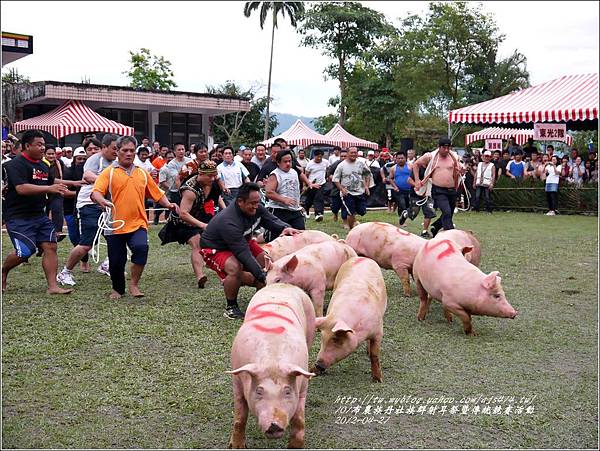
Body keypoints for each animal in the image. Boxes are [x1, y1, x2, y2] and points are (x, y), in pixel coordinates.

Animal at [226, 284, 318, 450]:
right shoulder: (237, 380)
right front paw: (237, 447)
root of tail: (284, 285)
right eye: (259, 391)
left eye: (287, 391)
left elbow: (299, 419)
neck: (272, 361)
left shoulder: (303, 385)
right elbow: (240, 417)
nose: (274, 425)